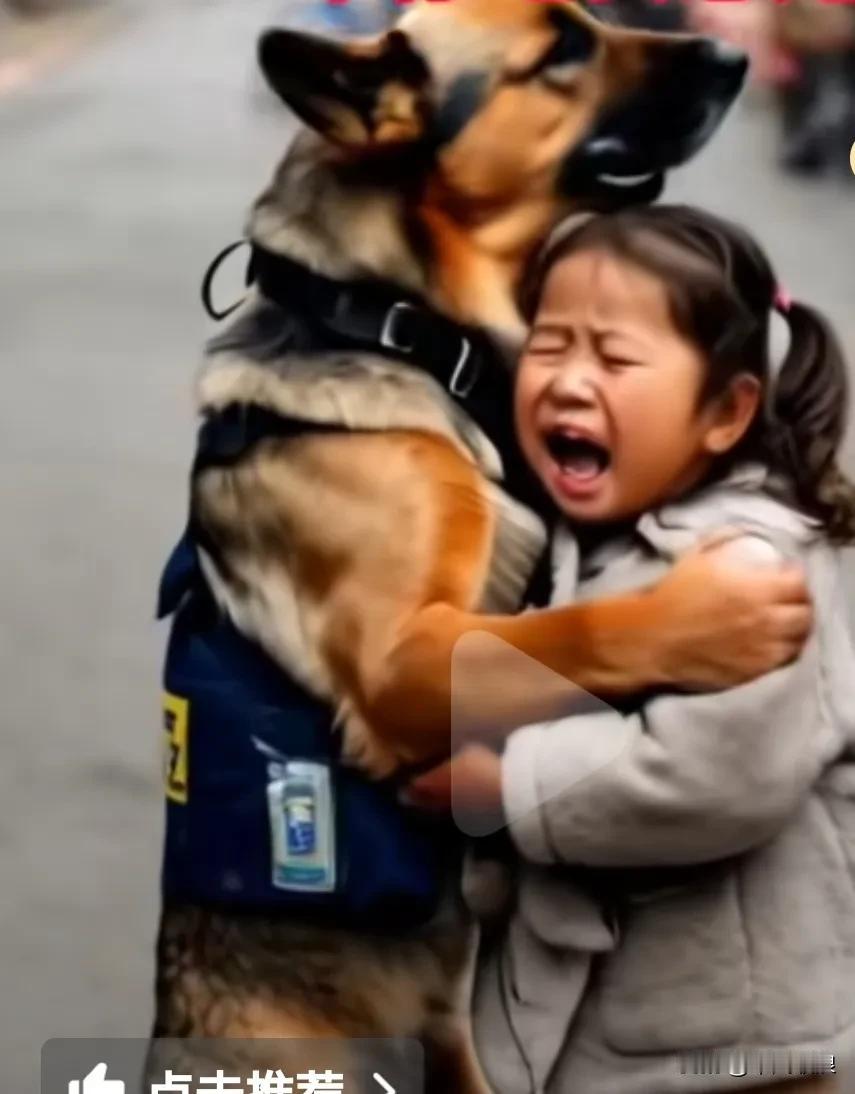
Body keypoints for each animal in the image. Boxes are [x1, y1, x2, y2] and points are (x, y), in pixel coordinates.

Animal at [150, 4, 747, 1089]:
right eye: (563, 49)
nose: (735, 53)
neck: (397, 325)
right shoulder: (404, 661)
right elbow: (571, 632)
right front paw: (721, 614)